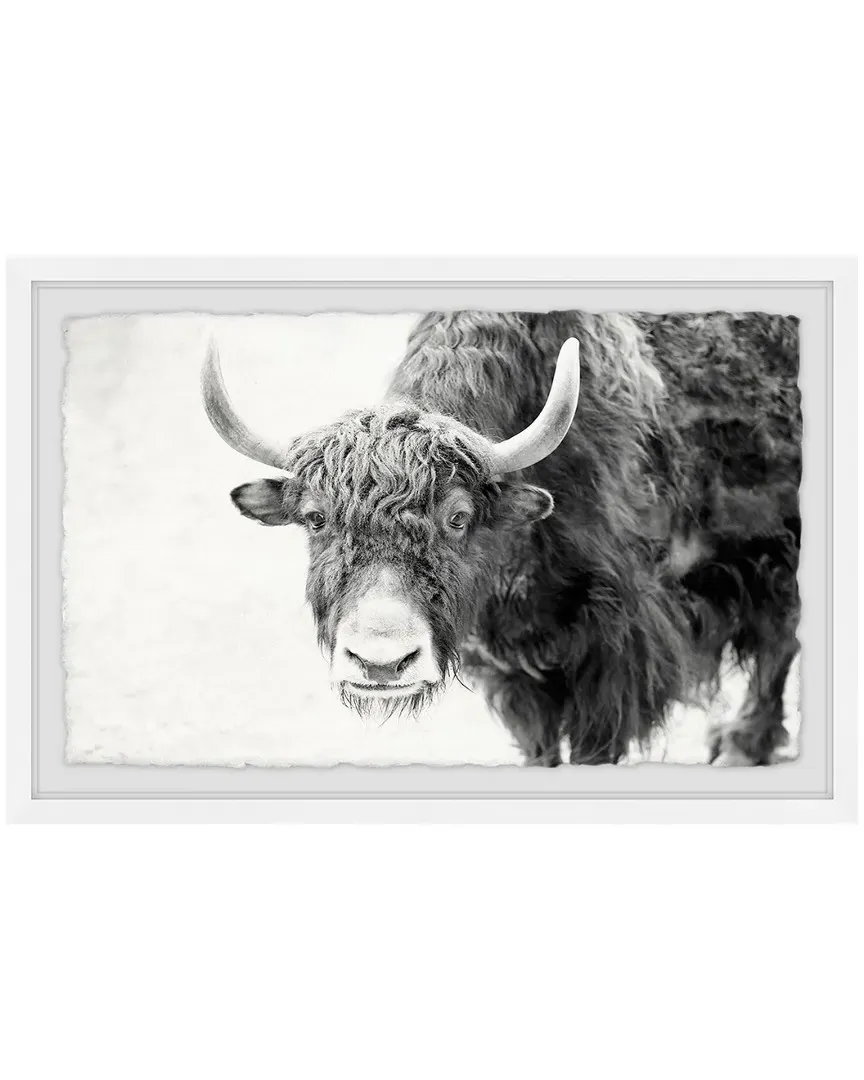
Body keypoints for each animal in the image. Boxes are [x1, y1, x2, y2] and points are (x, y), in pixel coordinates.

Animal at [202, 310, 801, 766]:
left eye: (458, 517)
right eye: (315, 518)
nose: (381, 664)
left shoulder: (612, 660)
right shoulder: (513, 671)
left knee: (780, 639)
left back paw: (743, 745)